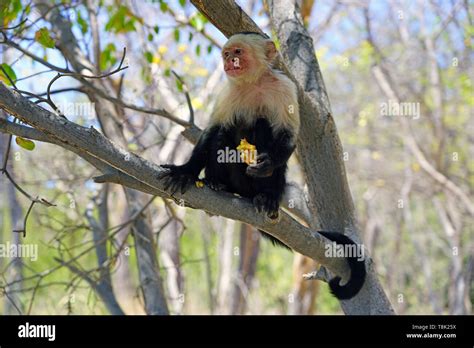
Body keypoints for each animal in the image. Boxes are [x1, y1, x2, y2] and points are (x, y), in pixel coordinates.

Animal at [159, 32, 366, 300]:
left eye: (237, 52)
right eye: (227, 54)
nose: (229, 62)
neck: (254, 82)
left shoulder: (285, 87)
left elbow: (288, 136)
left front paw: (266, 166)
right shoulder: (227, 92)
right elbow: (213, 131)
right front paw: (185, 171)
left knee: (263, 123)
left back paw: (266, 196)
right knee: (226, 132)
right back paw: (218, 183)